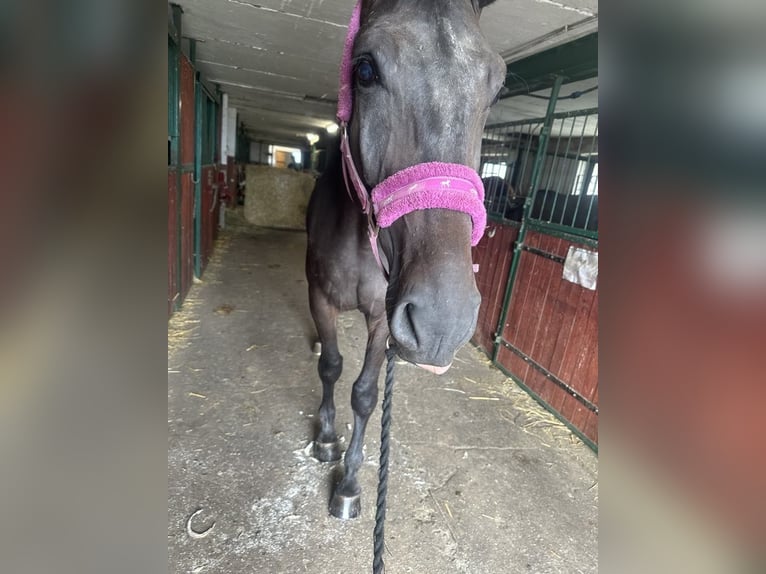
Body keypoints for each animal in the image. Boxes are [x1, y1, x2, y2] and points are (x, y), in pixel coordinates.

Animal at [304, 0, 508, 520]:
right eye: (365, 70)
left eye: (497, 86)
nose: (442, 323)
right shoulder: (319, 296)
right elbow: (331, 367)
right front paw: (327, 439)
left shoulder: (382, 318)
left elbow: (364, 394)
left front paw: (350, 484)